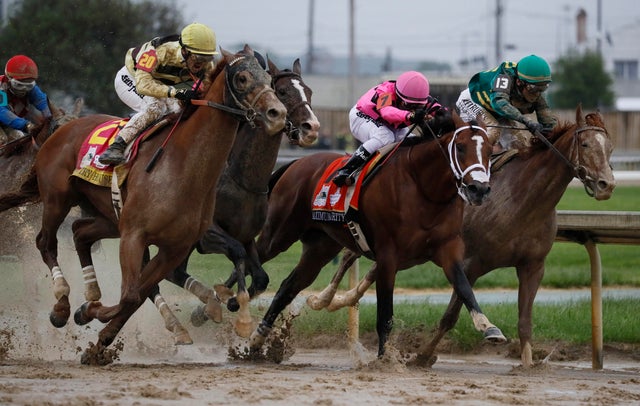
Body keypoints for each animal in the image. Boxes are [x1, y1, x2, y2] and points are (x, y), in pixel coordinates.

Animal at [4, 45, 287, 360]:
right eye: (242, 77)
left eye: (270, 80)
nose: (278, 114)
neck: (183, 166)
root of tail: (59, 130)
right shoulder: (134, 236)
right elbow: (131, 294)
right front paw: (86, 315)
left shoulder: (174, 247)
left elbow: (137, 294)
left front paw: (97, 335)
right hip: (57, 199)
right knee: (45, 242)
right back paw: (62, 306)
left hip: (108, 217)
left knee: (80, 233)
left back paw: (90, 295)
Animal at [249, 111, 501, 357]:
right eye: (460, 147)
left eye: (490, 151)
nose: (479, 189)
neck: (423, 188)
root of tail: (297, 162)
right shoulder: (388, 255)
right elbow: (385, 315)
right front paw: (385, 360)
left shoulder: (447, 248)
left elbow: (463, 286)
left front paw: (489, 327)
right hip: (279, 233)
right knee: (255, 255)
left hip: (320, 248)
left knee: (288, 287)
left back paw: (256, 340)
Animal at [313, 105, 616, 367]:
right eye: (585, 145)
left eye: (610, 148)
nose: (607, 185)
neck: (524, 201)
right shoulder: (472, 263)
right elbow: (450, 315)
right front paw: (423, 356)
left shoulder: (533, 266)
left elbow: (524, 321)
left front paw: (529, 365)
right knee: (350, 255)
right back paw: (326, 299)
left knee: (375, 269)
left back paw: (343, 298)